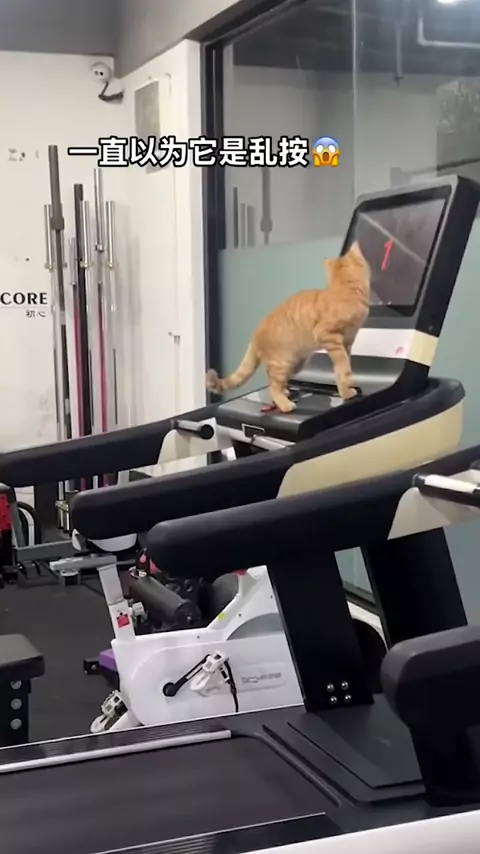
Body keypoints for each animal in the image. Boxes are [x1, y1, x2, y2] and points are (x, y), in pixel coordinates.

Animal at [206, 241, 371, 413]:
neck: (345, 291)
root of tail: (255, 334)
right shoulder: (328, 336)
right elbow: (343, 366)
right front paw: (348, 385)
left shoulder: (347, 342)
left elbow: (340, 370)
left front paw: (345, 392)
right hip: (282, 362)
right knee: (272, 386)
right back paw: (285, 404)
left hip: (296, 364)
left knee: (275, 381)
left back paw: (285, 393)